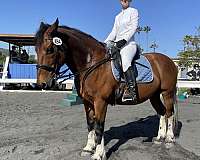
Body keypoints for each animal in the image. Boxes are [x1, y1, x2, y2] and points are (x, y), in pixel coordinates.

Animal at [35, 19, 177, 160]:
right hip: (154, 96)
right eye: (36, 49)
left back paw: (169, 139)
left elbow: (99, 126)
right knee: (162, 112)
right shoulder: (87, 102)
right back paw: (160, 137)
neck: (92, 64)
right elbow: (90, 124)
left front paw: (98, 154)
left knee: (169, 113)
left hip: (167, 93)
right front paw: (88, 148)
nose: (42, 84)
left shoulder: (100, 102)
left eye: (49, 49)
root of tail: (169, 61)